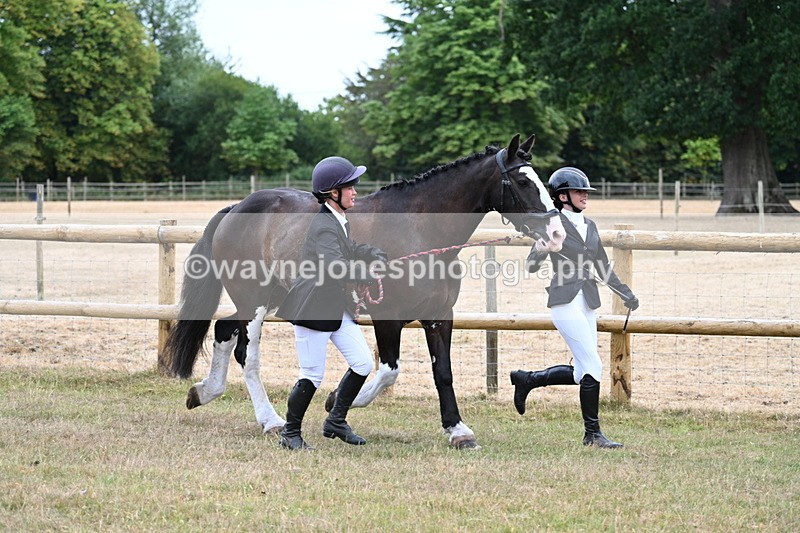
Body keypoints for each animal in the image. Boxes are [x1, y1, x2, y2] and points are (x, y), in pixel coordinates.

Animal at [163, 133, 566, 449]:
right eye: (523, 182)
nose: (557, 234)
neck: (421, 229)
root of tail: (237, 207)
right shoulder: (388, 315)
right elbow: (388, 370)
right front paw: (333, 402)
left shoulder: (439, 316)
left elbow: (443, 373)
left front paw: (458, 430)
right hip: (255, 301)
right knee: (247, 353)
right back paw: (271, 420)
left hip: (271, 297)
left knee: (223, 329)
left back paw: (205, 391)